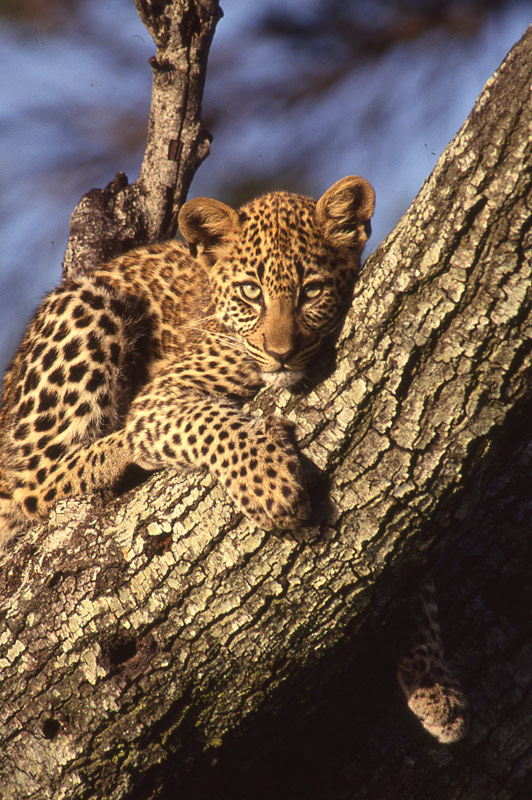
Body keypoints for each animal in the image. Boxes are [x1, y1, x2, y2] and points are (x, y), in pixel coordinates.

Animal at [0, 174, 468, 743]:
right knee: (29, 479)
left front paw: (434, 685)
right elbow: (211, 425)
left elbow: (417, 556)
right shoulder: (162, 397)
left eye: (312, 291)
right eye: (251, 292)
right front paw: (272, 487)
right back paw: (118, 452)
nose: (281, 353)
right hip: (87, 307)